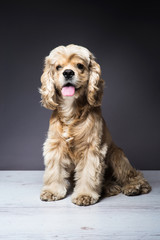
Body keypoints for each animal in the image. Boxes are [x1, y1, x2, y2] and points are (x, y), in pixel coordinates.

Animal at [39, 44, 151, 206]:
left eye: (80, 66)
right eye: (58, 67)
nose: (68, 72)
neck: (71, 111)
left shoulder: (91, 149)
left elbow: (88, 173)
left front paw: (84, 195)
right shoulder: (56, 146)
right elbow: (55, 170)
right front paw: (52, 191)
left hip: (116, 155)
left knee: (134, 175)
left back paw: (134, 187)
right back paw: (110, 188)